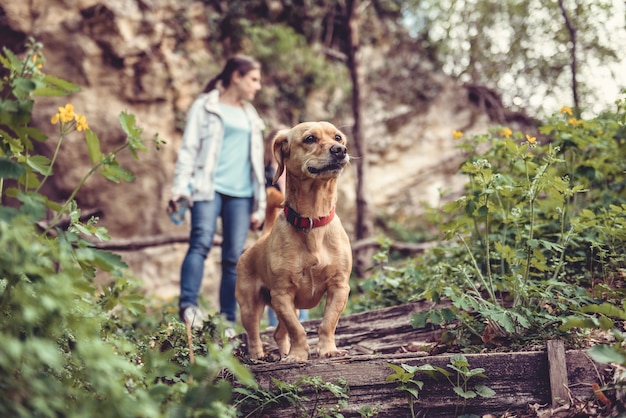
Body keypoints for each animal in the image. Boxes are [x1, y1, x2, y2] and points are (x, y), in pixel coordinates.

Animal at [234, 121, 352, 362]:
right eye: (310, 139)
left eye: (338, 137)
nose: (340, 150)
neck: (313, 220)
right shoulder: (282, 294)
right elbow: (297, 330)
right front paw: (298, 355)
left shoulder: (339, 287)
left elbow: (327, 323)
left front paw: (328, 350)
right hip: (250, 307)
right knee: (253, 335)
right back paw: (258, 356)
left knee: (279, 333)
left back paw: (282, 353)